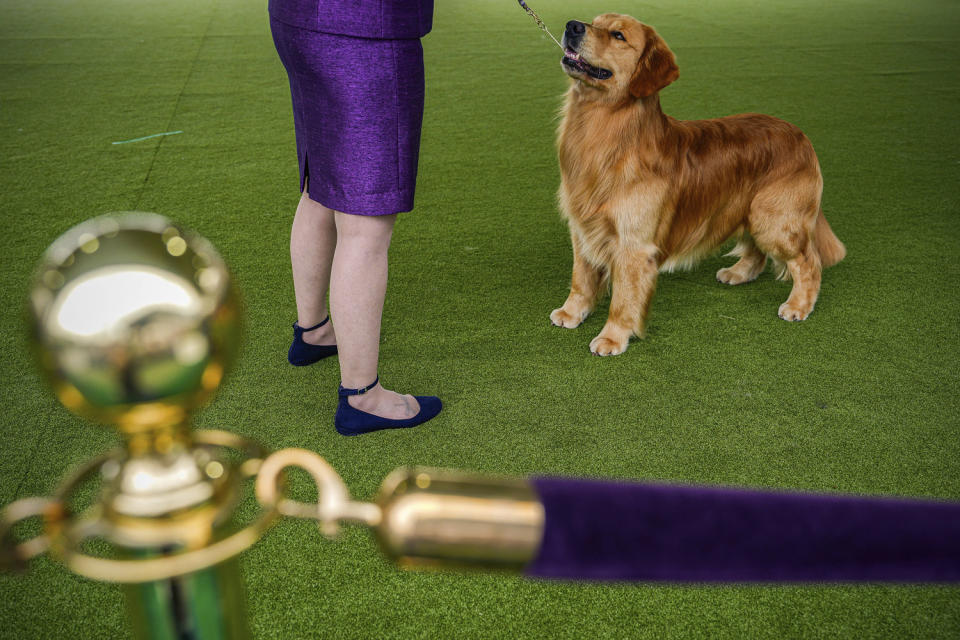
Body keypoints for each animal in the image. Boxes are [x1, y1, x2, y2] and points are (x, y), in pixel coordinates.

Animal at [552, 15, 844, 356]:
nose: (572, 25)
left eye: (618, 35)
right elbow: (581, 278)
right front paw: (573, 312)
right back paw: (738, 273)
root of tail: (801, 136)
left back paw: (799, 305)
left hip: (774, 219)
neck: (604, 130)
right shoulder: (583, 227)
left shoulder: (633, 244)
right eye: (594, 21)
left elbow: (624, 297)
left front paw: (613, 336)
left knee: (809, 262)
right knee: (757, 251)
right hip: (750, 209)